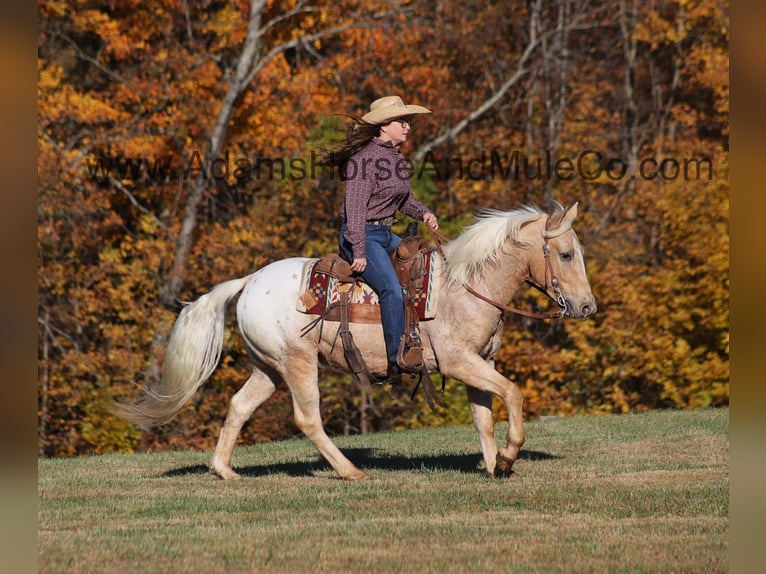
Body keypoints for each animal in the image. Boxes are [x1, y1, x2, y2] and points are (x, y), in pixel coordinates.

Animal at [114, 202, 596, 482]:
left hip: (268, 368)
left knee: (238, 406)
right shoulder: (460, 362)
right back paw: (350, 471)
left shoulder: (479, 365)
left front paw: (495, 465)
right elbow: (513, 395)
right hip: (298, 364)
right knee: (307, 419)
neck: (465, 286)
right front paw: (510, 457)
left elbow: (483, 418)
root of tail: (249, 281)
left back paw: (225, 472)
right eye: (566, 254)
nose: (587, 306)